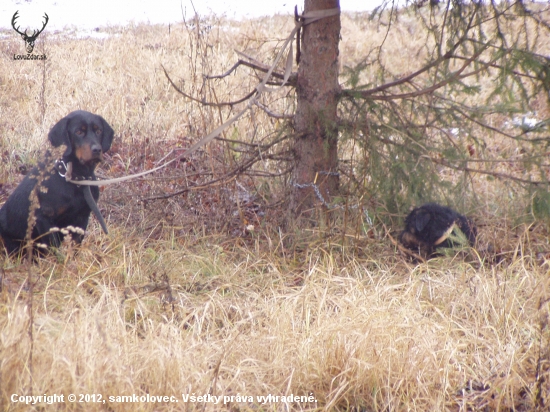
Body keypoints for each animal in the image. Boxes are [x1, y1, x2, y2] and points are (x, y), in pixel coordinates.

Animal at [0, 109, 113, 254]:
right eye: (78, 132)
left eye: (98, 131)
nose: (97, 149)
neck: (75, 179)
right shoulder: (44, 218)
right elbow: (53, 249)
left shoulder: (82, 218)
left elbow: (74, 248)